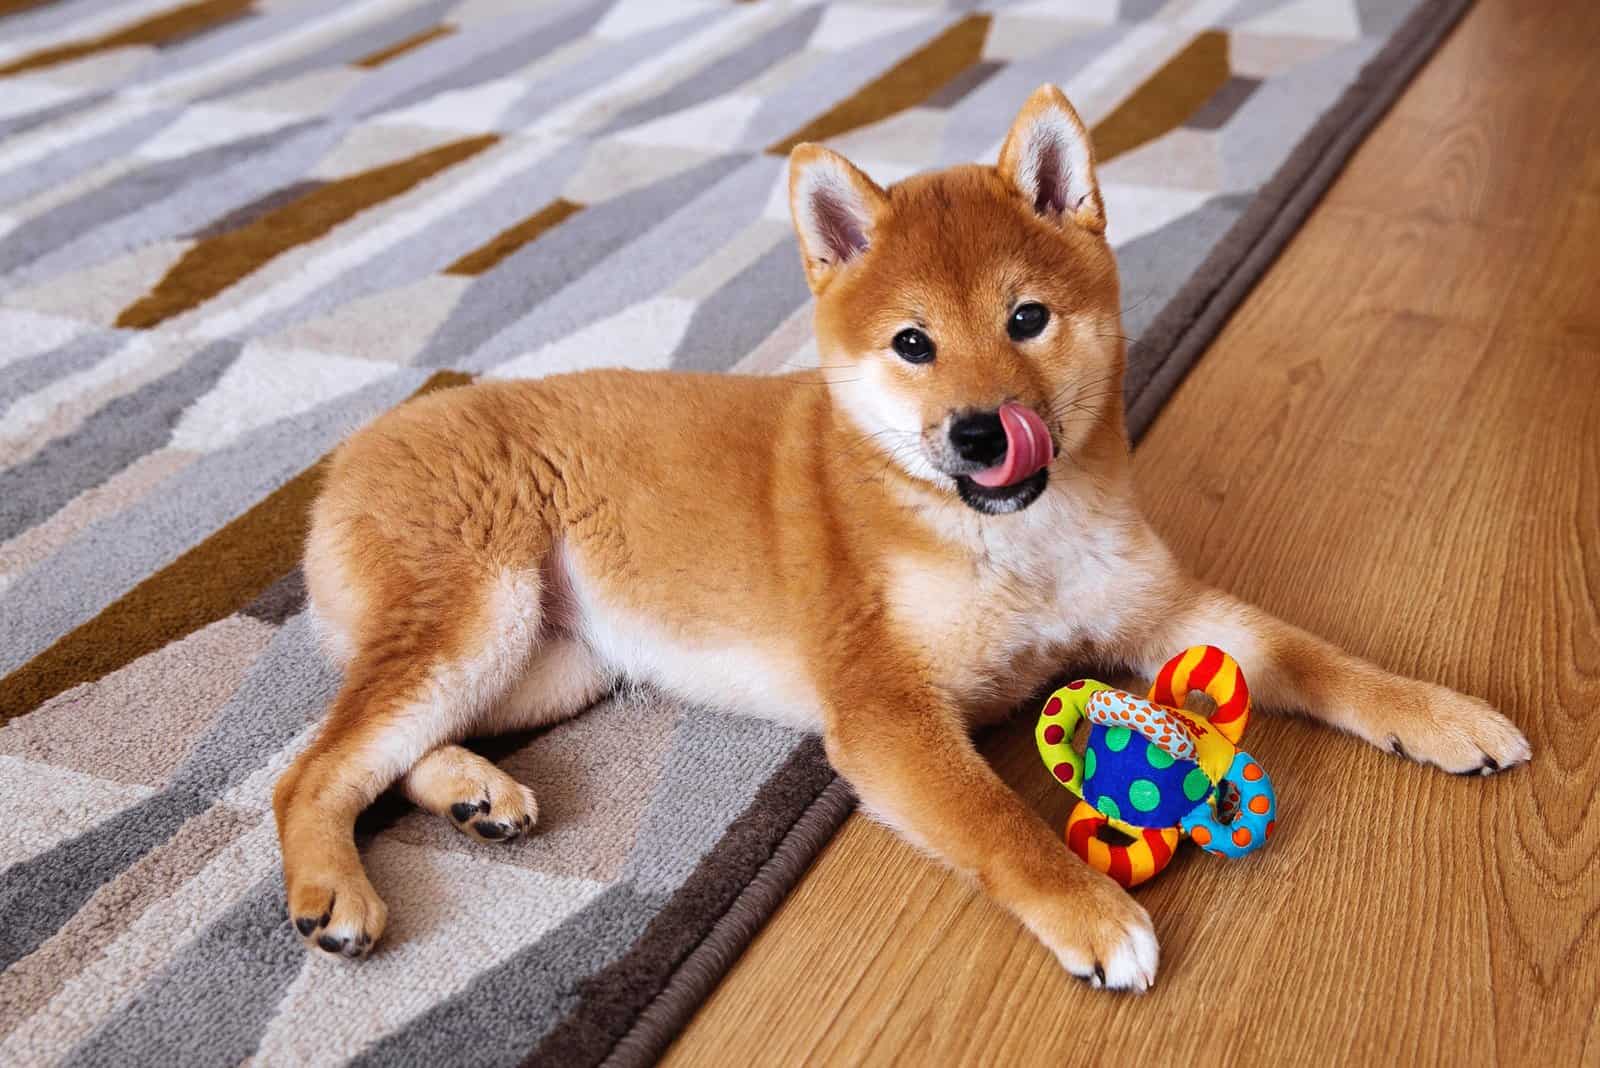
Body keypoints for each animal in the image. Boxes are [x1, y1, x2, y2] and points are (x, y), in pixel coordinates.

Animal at [272, 85, 1523, 991]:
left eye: (1027, 318)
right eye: (912, 344)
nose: (980, 432)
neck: (1007, 542)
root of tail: (351, 453)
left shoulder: (1163, 613)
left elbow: (1315, 655)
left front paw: (1438, 713)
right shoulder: (885, 712)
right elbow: (997, 822)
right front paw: (1094, 913)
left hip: (553, 661)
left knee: (385, 752)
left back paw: (473, 794)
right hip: (476, 616)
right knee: (311, 770)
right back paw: (338, 891)